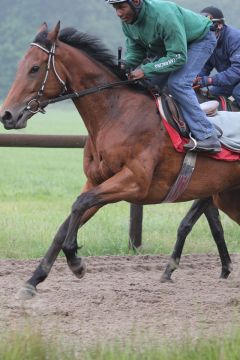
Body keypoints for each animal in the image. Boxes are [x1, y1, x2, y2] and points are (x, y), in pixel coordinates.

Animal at [0, 21, 240, 300]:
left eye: (35, 68)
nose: (7, 115)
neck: (116, 114)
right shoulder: (96, 181)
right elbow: (67, 221)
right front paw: (33, 280)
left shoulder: (135, 183)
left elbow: (80, 203)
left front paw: (76, 262)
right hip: (227, 196)